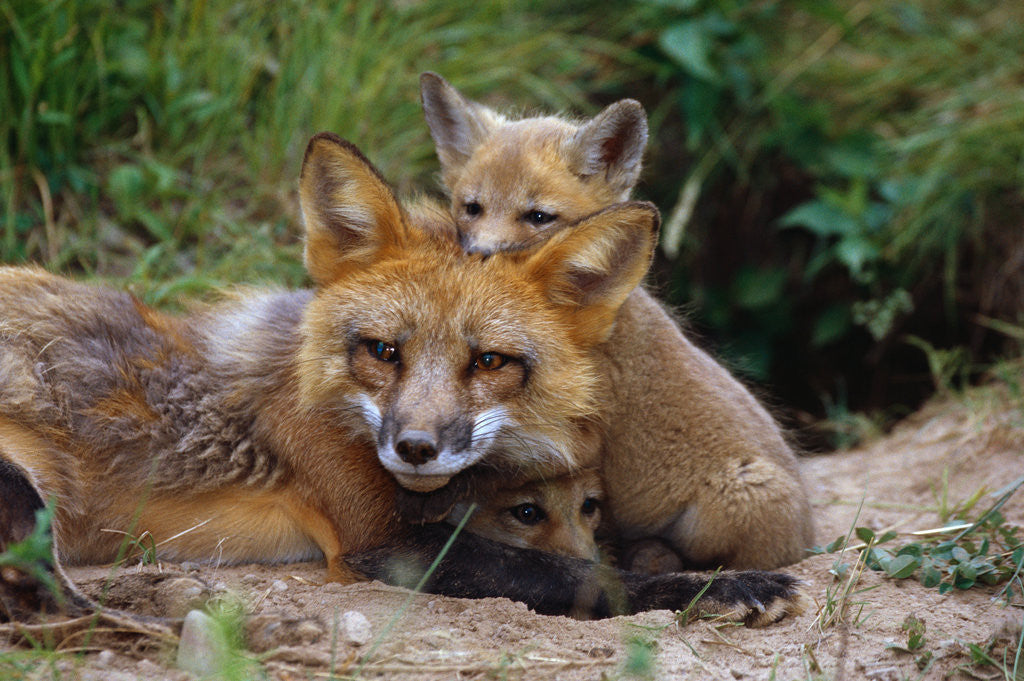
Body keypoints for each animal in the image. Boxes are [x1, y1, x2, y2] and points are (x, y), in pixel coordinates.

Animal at [0, 133, 804, 627]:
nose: (416, 446)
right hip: (25, 498)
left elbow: (585, 559)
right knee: (54, 607)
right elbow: (572, 577)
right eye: (384, 351)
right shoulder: (379, 538)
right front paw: (725, 586)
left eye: (490, 361)